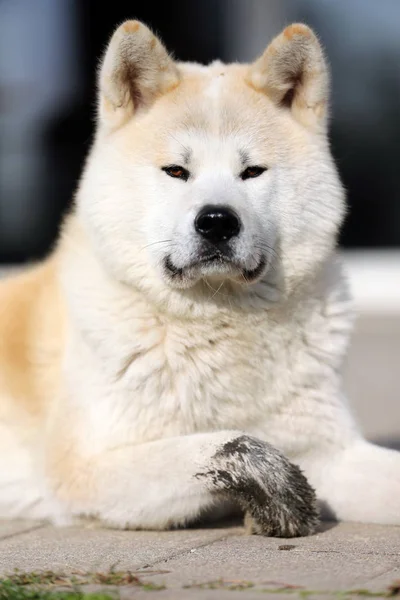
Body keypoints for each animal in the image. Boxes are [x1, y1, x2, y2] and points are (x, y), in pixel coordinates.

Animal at [0, 18, 398, 536]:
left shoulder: (333, 453)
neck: (220, 327)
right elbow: (230, 444)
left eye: (252, 171)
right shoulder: (85, 471)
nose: (217, 221)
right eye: (176, 171)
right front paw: (278, 494)